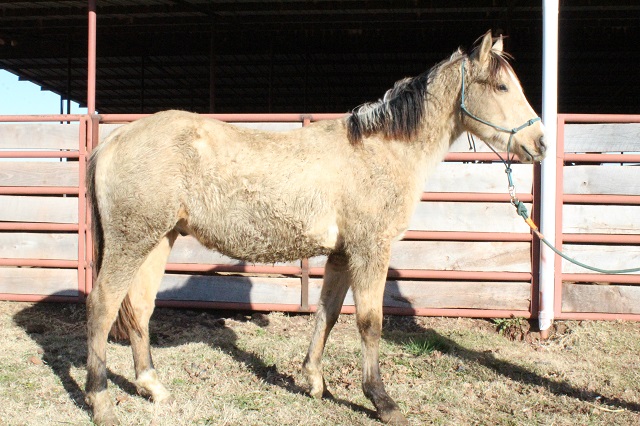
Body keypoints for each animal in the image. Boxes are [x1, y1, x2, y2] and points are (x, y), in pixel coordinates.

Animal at [84, 31, 544, 424]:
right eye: (502, 88)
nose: (540, 143)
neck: (378, 150)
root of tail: (113, 140)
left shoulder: (341, 255)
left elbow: (328, 313)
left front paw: (314, 381)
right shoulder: (369, 250)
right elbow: (370, 322)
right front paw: (382, 401)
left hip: (157, 238)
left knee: (139, 307)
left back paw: (152, 386)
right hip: (132, 241)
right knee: (103, 305)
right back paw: (101, 401)